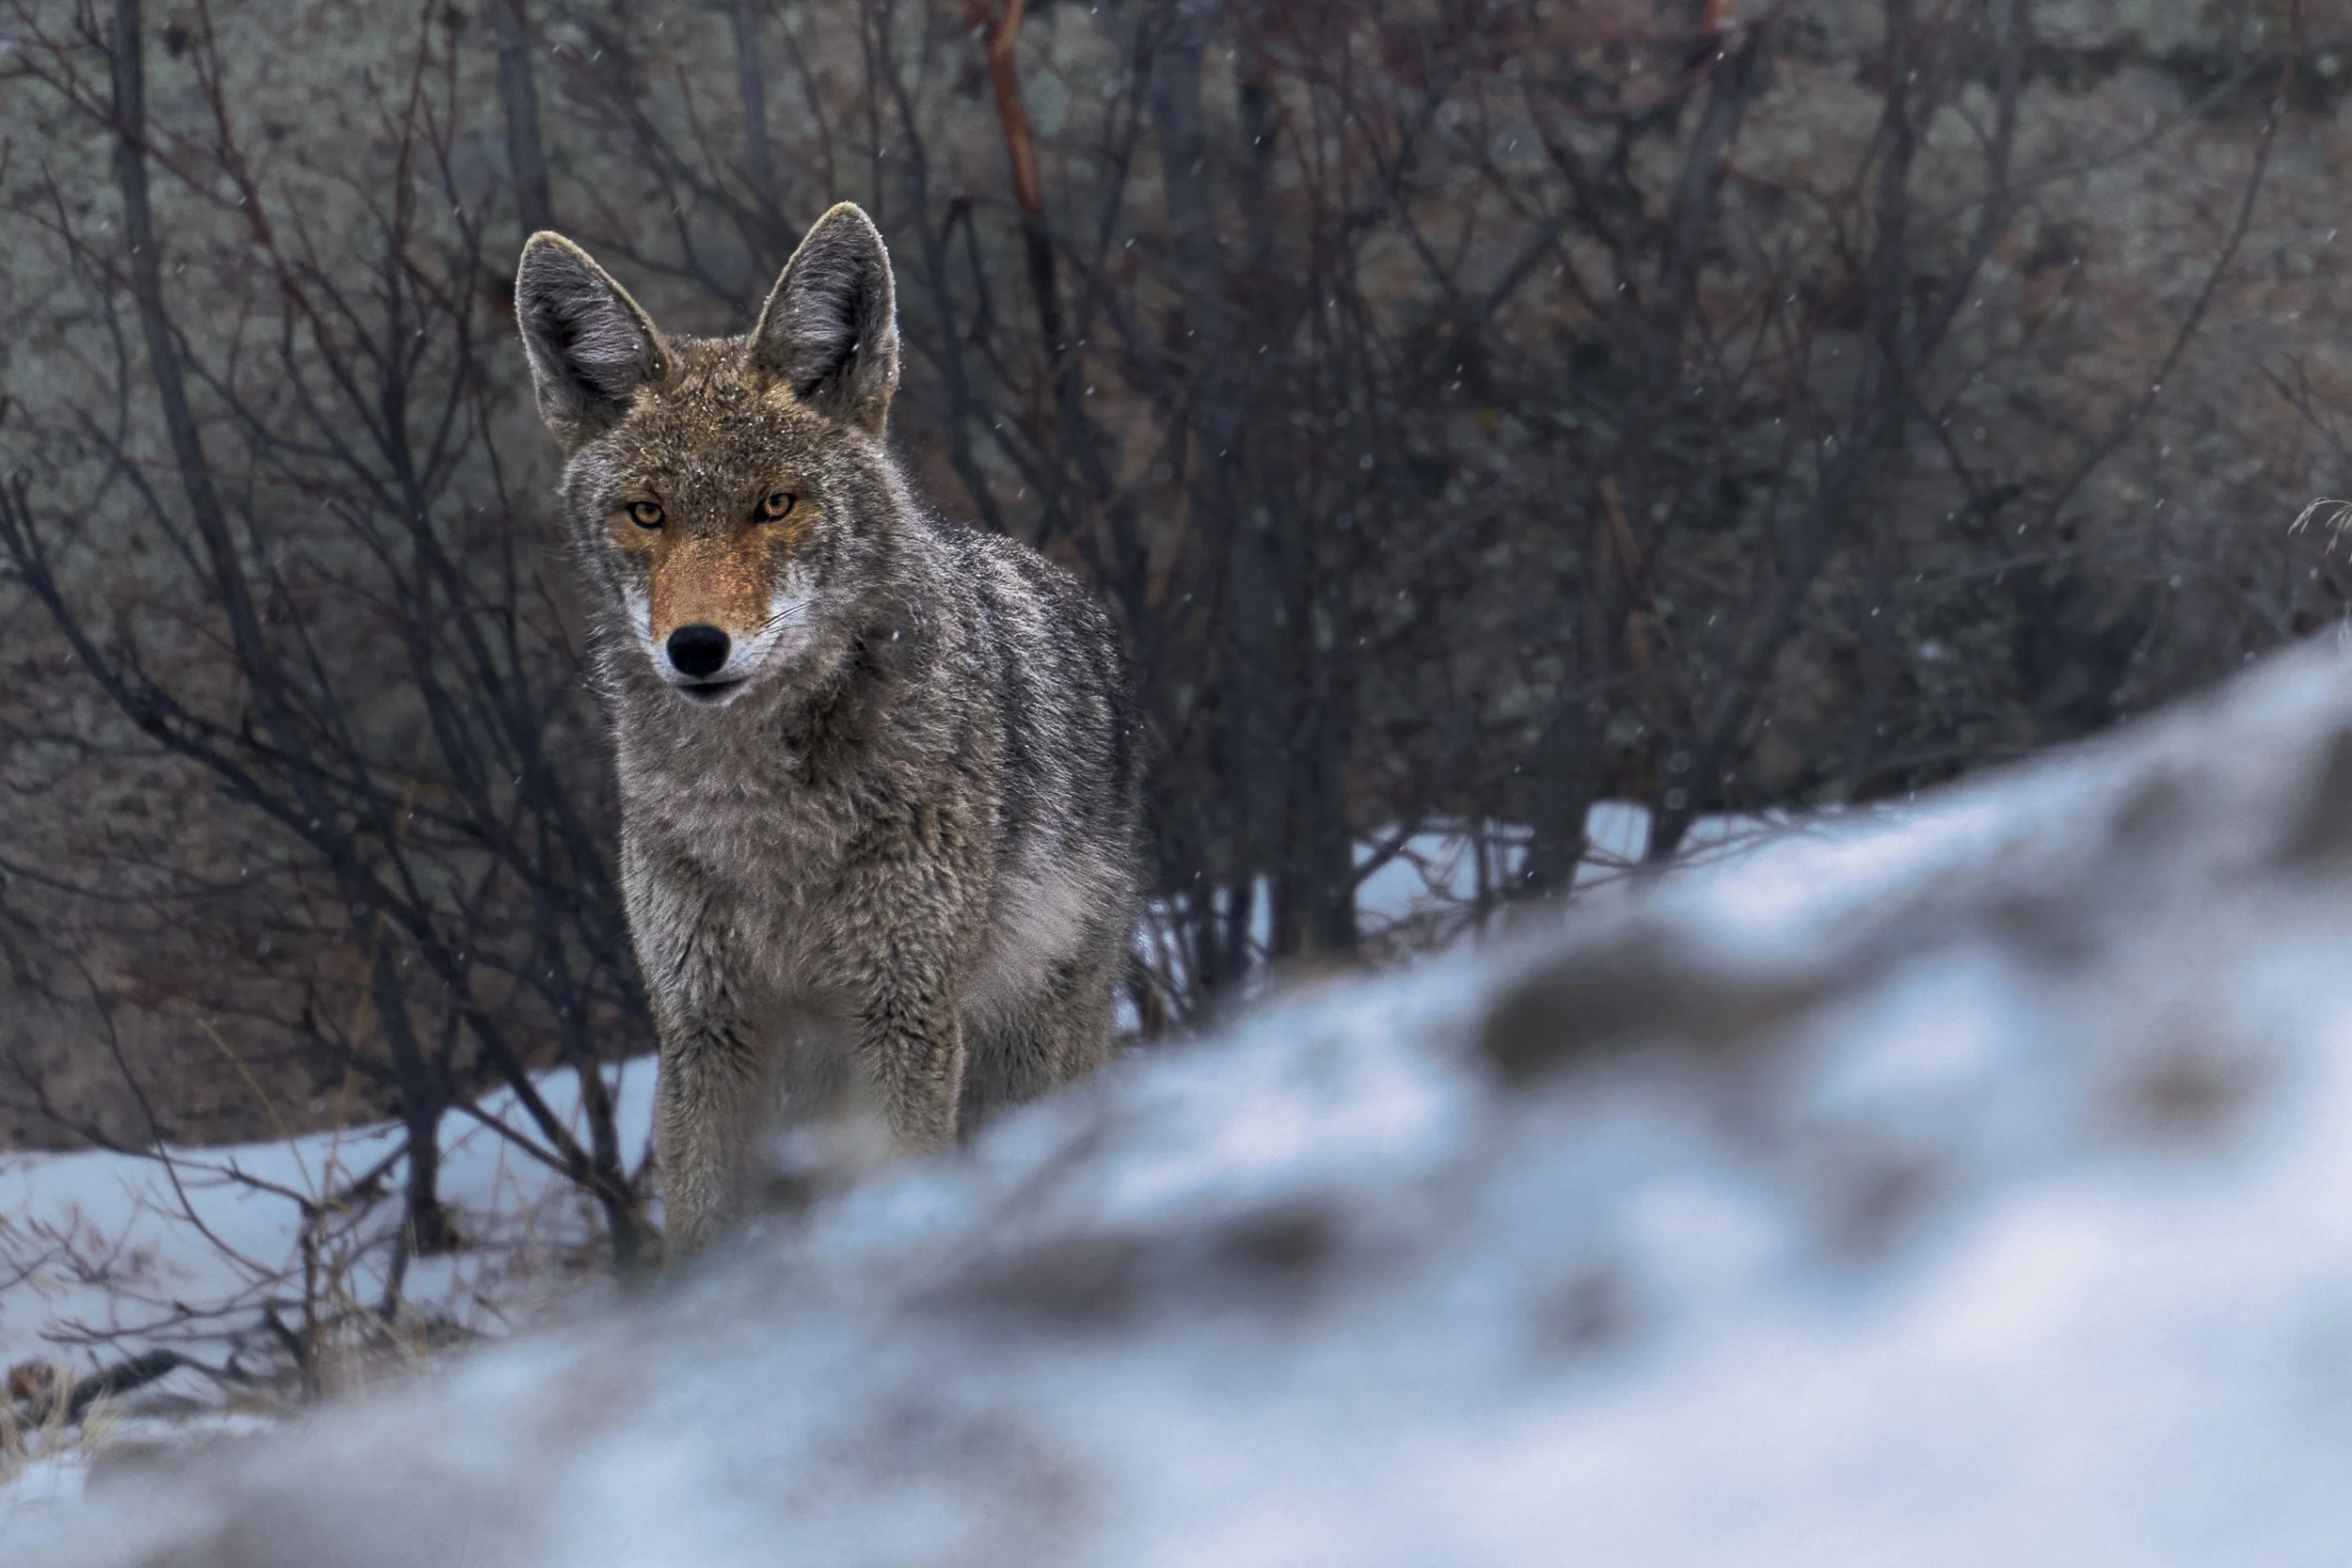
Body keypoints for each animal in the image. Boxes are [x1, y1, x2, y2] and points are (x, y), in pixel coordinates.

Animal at [514, 204, 1143, 1257]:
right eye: (647, 512)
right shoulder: (707, 1028)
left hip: (1030, 1049)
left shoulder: (904, 1014)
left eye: (776, 503)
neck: (761, 817)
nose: (696, 646)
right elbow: (699, 1225)